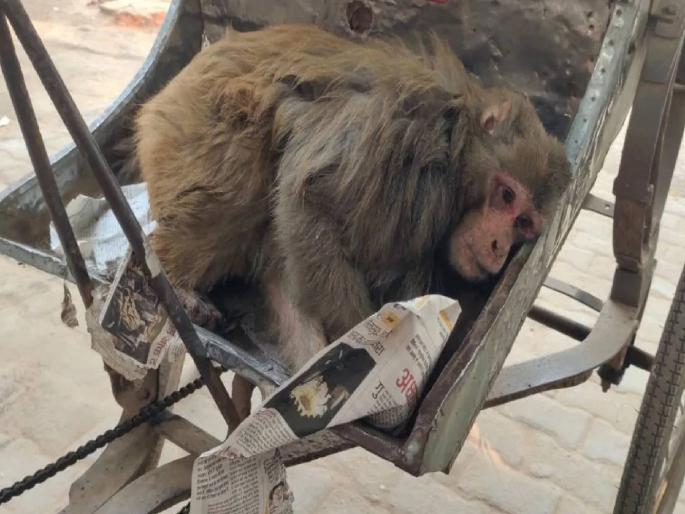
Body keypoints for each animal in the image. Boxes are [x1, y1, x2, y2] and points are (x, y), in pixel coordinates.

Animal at [134, 24, 571, 419]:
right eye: (506, 195)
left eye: (524, 223)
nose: (499, 247)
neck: (456, 150)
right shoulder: (401, 130)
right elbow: (312, 199)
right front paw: (361, 342)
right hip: (188, 133)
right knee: (241, 174)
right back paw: (173, 277)